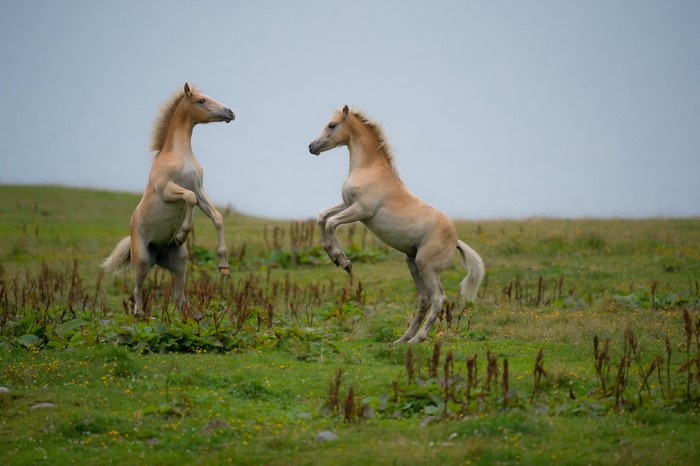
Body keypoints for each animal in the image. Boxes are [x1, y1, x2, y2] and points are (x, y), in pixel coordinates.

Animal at [102, 82, 234, 314]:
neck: (179, 154)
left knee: (178, 296)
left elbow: (216, 217)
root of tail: (158, 252)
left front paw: (224, 266)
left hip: (179, 265)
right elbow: (189, 198)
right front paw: (181, 235)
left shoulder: (200, 190)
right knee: (137, 291)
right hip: (142, 262)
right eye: (201, 100)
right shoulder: (168, 190)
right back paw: (139, 315)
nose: (230, 112)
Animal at [308, 105, 484, 344]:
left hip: (427, 266)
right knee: (424, 299)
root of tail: (456, 240)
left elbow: (331, 224)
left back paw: (417, 339)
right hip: (412, 263)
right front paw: (334, 257)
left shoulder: (360, 211)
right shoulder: (347, 204)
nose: (311, 147)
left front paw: (343, 261)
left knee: (438, 299)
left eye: (332, 125)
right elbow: (322, 217)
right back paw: (402, 340)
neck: (369, 168)